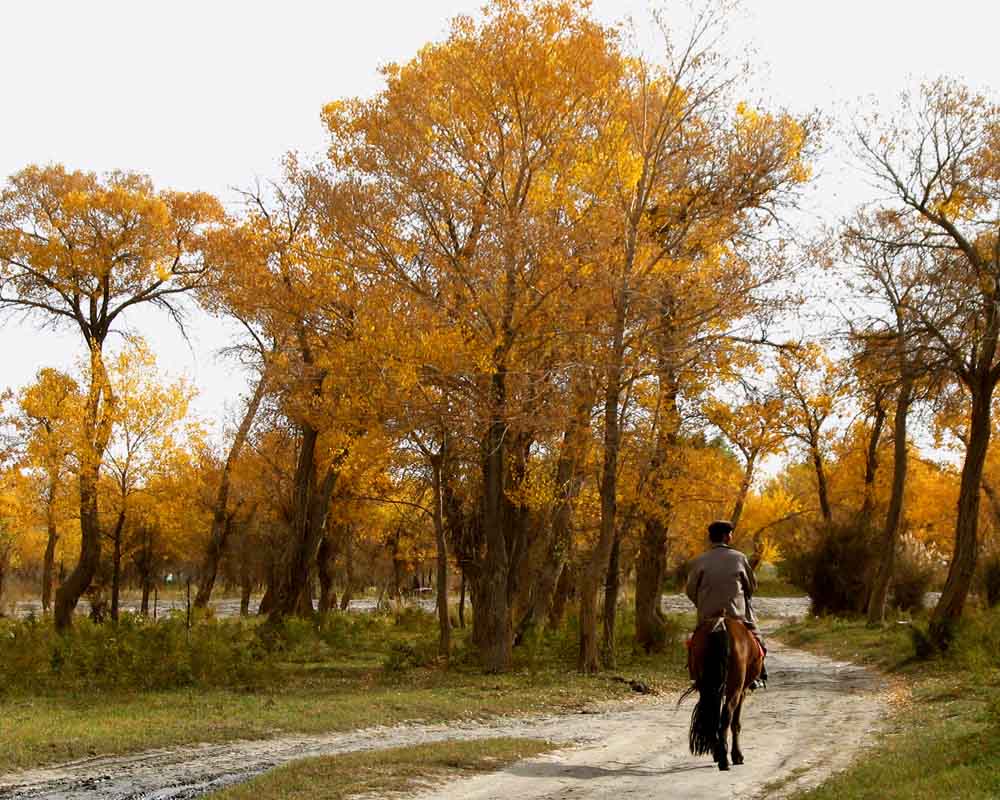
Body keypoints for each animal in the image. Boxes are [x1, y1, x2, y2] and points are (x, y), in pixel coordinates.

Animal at [680, 620, 764, 768]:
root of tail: (721, 625)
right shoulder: (742, 692)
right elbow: (735, 724)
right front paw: (737, 756)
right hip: (735, 689)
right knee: (726, 716)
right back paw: (724, 759)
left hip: (708, 688)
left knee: (711, 715)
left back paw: (719, 754)